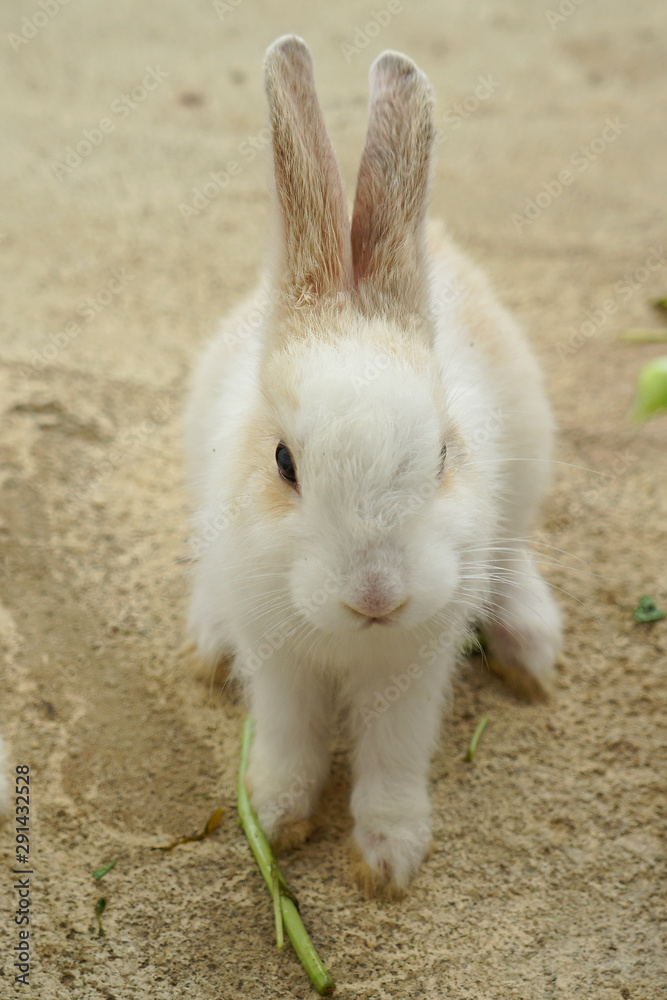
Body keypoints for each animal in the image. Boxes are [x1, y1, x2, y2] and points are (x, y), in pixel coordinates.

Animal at [183, 35, 562, 896]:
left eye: (443, 453)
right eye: (283, 462)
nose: (377, 596)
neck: (350, 639)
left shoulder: (411, 672)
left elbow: (391, 757)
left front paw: (387, 858)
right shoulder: (279, 661)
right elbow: (289, 737)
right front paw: (275, 819)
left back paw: (528, 644)